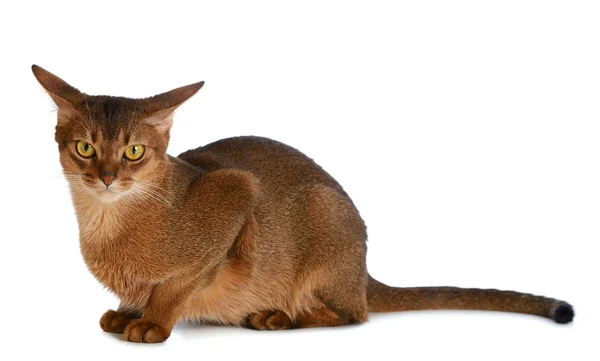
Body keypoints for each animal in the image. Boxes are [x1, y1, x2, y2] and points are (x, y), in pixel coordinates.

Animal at [30, 64, 576, 344]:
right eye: (85, 148)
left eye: (134, 152)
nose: (106, 177)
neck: (107, 224)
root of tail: (363, 272)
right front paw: (126, 312)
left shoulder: (236, 193)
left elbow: (179, 286)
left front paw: (152, 322)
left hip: (323, 211)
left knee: (355, 314)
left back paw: (278, 318)